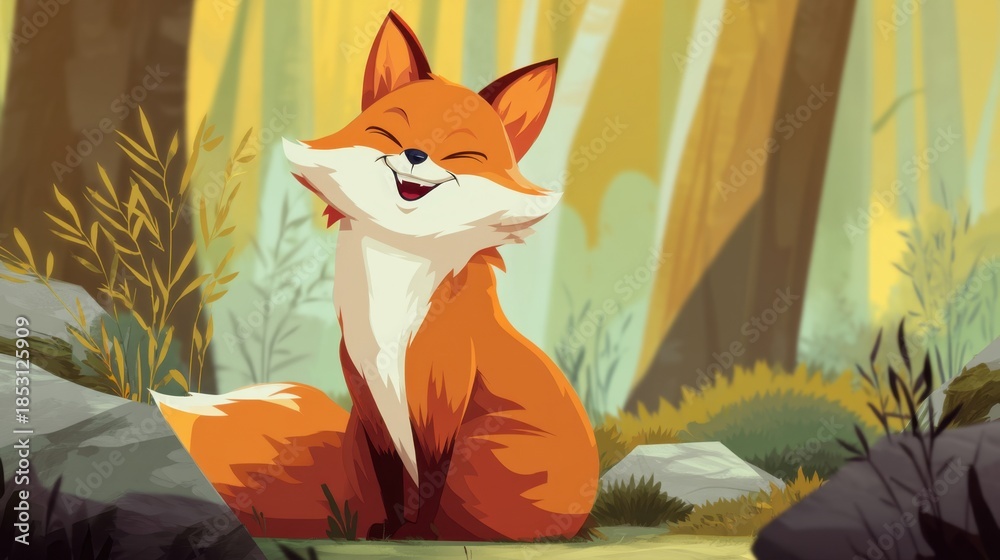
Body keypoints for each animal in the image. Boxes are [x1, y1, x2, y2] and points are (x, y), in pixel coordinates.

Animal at [153, 11, 598, 541]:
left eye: (461, 154)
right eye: (391, 132)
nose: (416, 155)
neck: (396, 270)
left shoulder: (442, 398)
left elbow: (430, 478)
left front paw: (418, 536)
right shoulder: (367, 394)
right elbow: (392, 477)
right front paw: (389, 529)